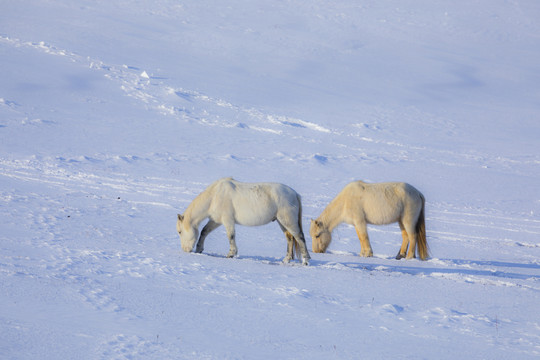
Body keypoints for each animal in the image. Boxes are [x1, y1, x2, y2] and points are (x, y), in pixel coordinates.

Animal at [177, 177, 310, 264]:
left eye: (179, 232)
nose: (185, 250)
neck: (214, 196)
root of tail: (295, 194)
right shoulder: (216, 221)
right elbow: (204, 231)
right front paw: (199, 249)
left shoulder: (228, 220)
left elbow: (231, 236)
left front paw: (231, 254)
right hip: (282, 222)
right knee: (290, 238)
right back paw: (286, 259)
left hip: (288, 220)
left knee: (299, 237)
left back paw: (306, 260)